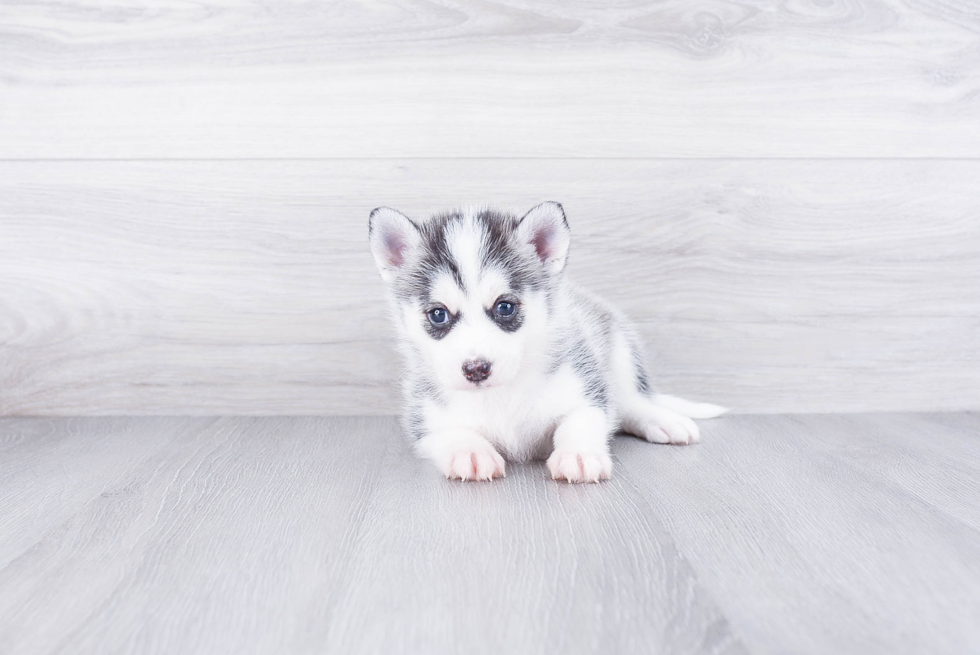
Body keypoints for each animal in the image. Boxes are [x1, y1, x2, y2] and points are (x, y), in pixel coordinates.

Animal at [372, 202, 724, 484]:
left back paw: (662, 420)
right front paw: (470, 452)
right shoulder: (424, 419)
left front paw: (578, 454)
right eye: (438, 314)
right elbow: (450, 431)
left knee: (630, 401)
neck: (501, 395)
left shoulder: (585, 387)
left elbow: (579, 421)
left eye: (505, 307)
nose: (476, 369)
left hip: (618, 347)